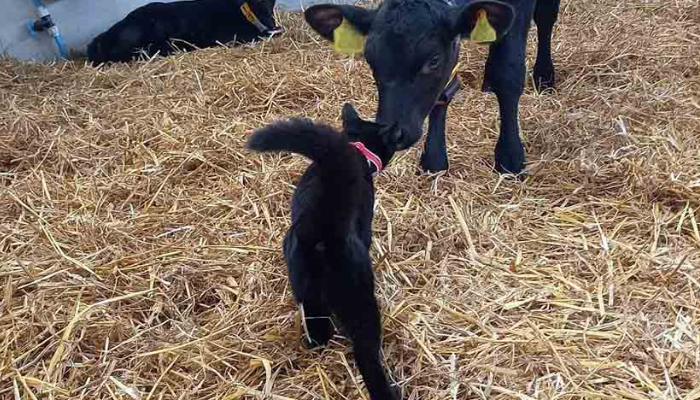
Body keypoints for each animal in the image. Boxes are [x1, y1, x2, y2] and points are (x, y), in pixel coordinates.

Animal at [246, 105, 402, 400]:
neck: (356, 150)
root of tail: (323, 222)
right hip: (359, 300)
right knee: (367, 354)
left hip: (307, 294)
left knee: (318, 334)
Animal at [304, 0, 564, 177]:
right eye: (370, 59)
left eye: (434, 60)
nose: (391, 134)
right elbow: (443, 93)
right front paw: (434, 160)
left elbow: (508, 72)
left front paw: (510, 157)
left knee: (545, 16)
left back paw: (544, 75)